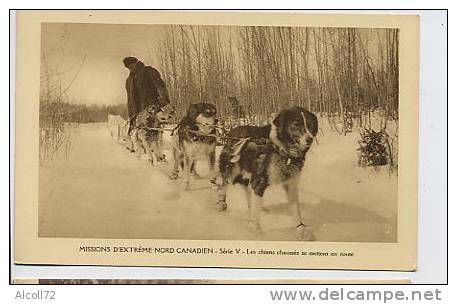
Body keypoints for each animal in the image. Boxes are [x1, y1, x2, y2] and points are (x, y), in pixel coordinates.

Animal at [216, 107, 318, 240]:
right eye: (296, 124)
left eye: (310, 125)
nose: (310, 139)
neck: (281, 150)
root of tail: (232, 132)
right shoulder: (259, 181)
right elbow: (255, 215)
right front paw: (255, 228)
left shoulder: (291, 185)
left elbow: (296, 210)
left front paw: (301, 229)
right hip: (231, 171)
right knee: (224, 184)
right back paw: (221, 203)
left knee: (247, 190)